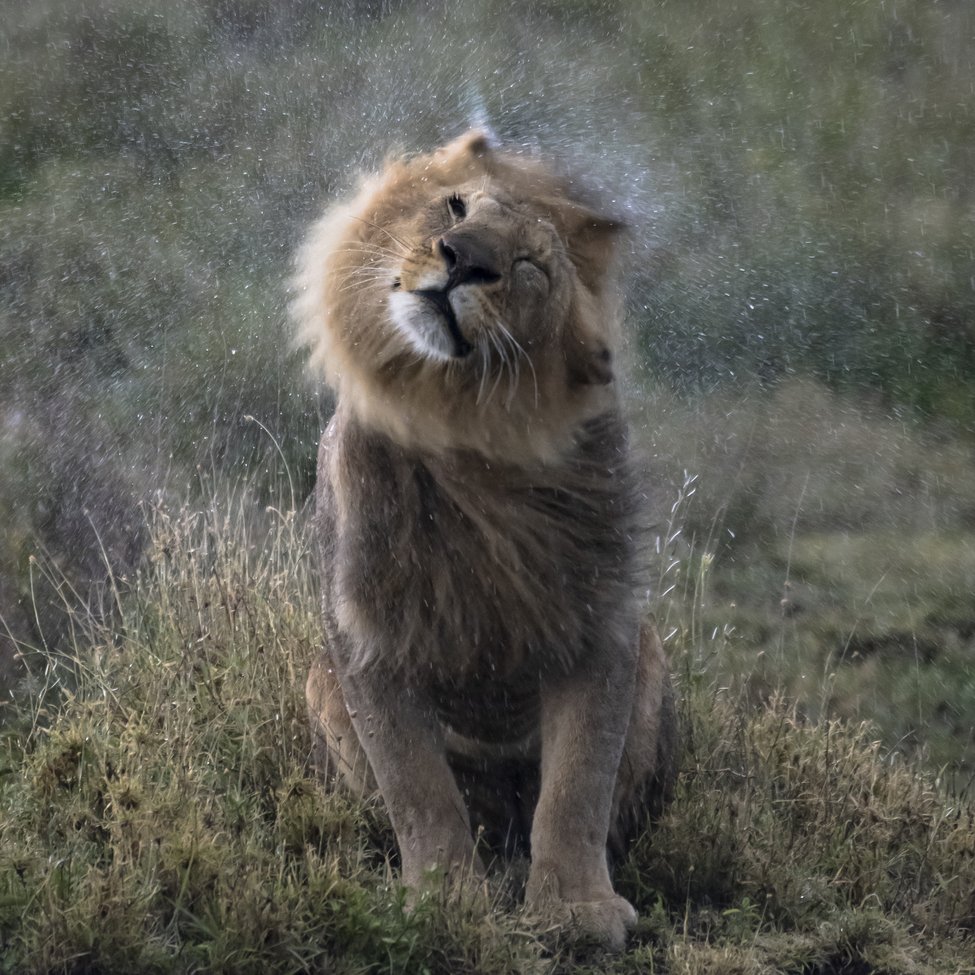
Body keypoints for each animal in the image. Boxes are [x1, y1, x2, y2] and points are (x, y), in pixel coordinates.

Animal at [293, 131, 677, 950]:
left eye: (529, 265)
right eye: (456, 206)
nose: (460, 259)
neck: (466, 435)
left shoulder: (599, 618)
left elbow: (579, 781)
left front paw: (575, 909)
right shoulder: (368, 633)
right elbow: (417, 787)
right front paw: (442, 904)